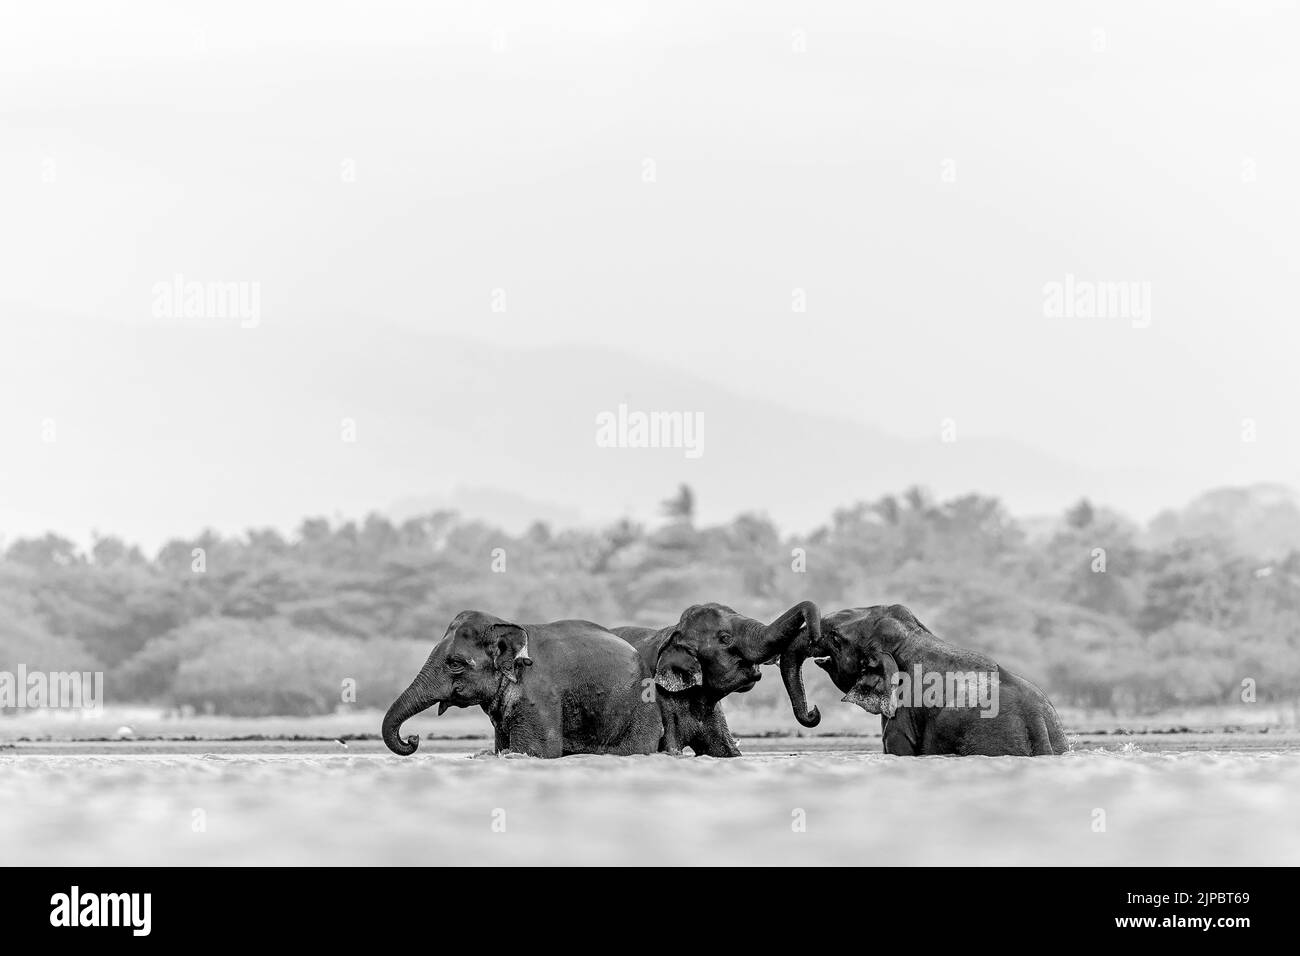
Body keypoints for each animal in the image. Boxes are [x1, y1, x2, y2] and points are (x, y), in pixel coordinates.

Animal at [377, 613, 660, 764]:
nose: (413, 738)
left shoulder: (539, 696)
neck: (507, 623)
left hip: (639, 710)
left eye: (455, 663)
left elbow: (536, 752)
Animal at [611, 600, 821, 759]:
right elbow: (670, 748)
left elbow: (724, 751)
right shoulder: (660, 700)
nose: (815, 637)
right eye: (725, 638)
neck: (674, 630)